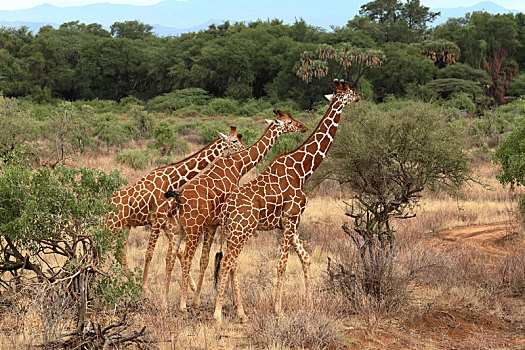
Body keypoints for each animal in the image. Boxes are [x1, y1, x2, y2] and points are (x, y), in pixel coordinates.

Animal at [107, 126, 247, 290]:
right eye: (234, 141)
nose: (244, 149)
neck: (173, 178)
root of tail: (108, 203)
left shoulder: (166, 221)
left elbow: (178, 252)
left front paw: (192, 288)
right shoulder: (158, 219)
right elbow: (149, 254)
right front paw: (144, 290)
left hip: (125, 226)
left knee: (120, 254)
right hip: (112, 225)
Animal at [166, 108, 310, 308]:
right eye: (289, 122)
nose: (303, 127)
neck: (238, 166)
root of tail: (178, 199)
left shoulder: (215, 222)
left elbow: (207, 260)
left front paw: (202, 300)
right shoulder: (225, 221)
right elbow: (227, 260)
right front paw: (231, 302)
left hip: (176, 229)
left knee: (170, 257)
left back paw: (164, 302)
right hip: (194, 228)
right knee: (187, 257)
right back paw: (182, 305)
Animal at [213, 79, 360, 322]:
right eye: (349, 91)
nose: (359, 96)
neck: (303, 169)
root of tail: (226, 208)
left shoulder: (289, 222)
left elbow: (306, 258)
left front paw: (309, 306)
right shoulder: (291, 217)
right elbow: (282, 264)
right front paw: (277, 309)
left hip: (234, 231)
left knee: (231, 262)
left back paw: (240, 311)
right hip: (242, 229)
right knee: (227, 262)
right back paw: (218, 314)